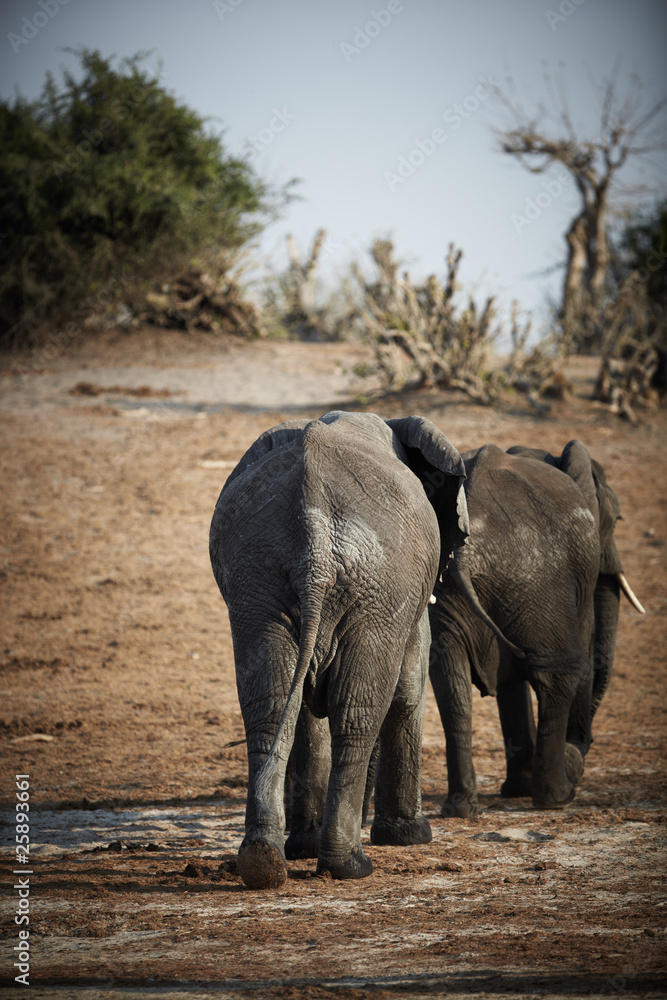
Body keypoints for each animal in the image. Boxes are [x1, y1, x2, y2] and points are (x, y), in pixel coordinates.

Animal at [209, 410, 470, 888]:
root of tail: (312, 542)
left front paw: (302, 847)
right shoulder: (405, 599)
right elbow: (408, 685)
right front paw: (409, 837)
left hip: (258, 579)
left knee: (269, 705)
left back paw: (265, 863)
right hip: (378, 585)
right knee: (358, 712)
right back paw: (350, 866)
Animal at [428, 439, 644, 816]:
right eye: (616, 520)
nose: (582, 746)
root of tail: (468, 551)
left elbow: (507, 680)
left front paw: (516, 789)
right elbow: (582, 652)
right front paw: (567, 765)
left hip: (463, 590)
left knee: (449, 678)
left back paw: (461, 808)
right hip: (535, 578)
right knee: (561, 672)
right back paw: (556, 797)